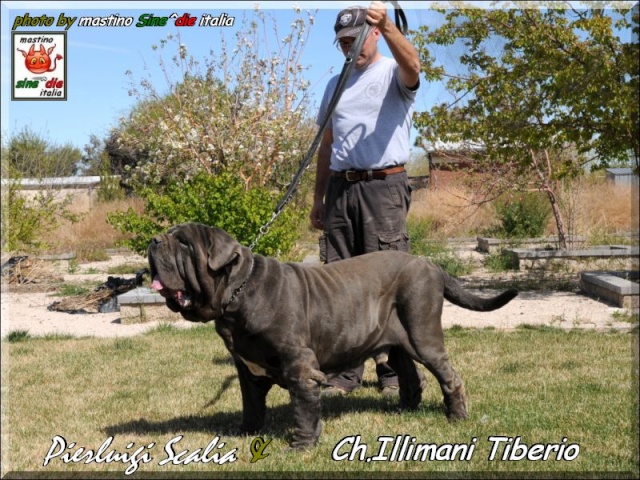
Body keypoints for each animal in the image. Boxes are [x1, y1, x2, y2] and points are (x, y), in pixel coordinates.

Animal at [148, 223, 516, 448]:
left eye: (183, 243)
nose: (153, 240)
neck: (238, 293)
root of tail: (431, 264)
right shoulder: (246, 369)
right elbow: (251, 404)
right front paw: (244, 433)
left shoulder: (300, 366)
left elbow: (304, 408)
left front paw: (301, 446)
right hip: (396, 341)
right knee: (411, 375)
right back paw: (405, 410)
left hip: (422, 335)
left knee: (449, 376)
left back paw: (457, 417)